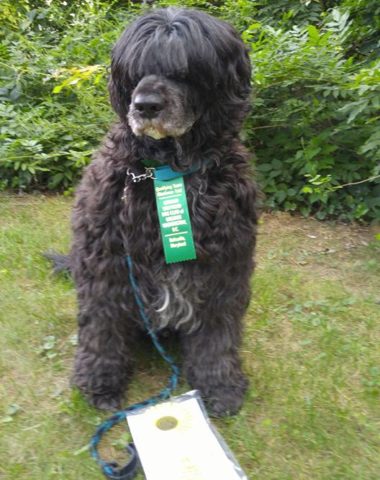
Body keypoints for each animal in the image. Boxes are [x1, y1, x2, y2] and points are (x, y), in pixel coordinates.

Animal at [68, 6, 258, 416]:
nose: (146, 106)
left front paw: (220, 384)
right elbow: (101, 325)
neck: (167, 169)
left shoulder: (225, 265)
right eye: (136, 71)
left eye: (184, 71)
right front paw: (100, 381)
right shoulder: (106, 260)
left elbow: (218, 332)